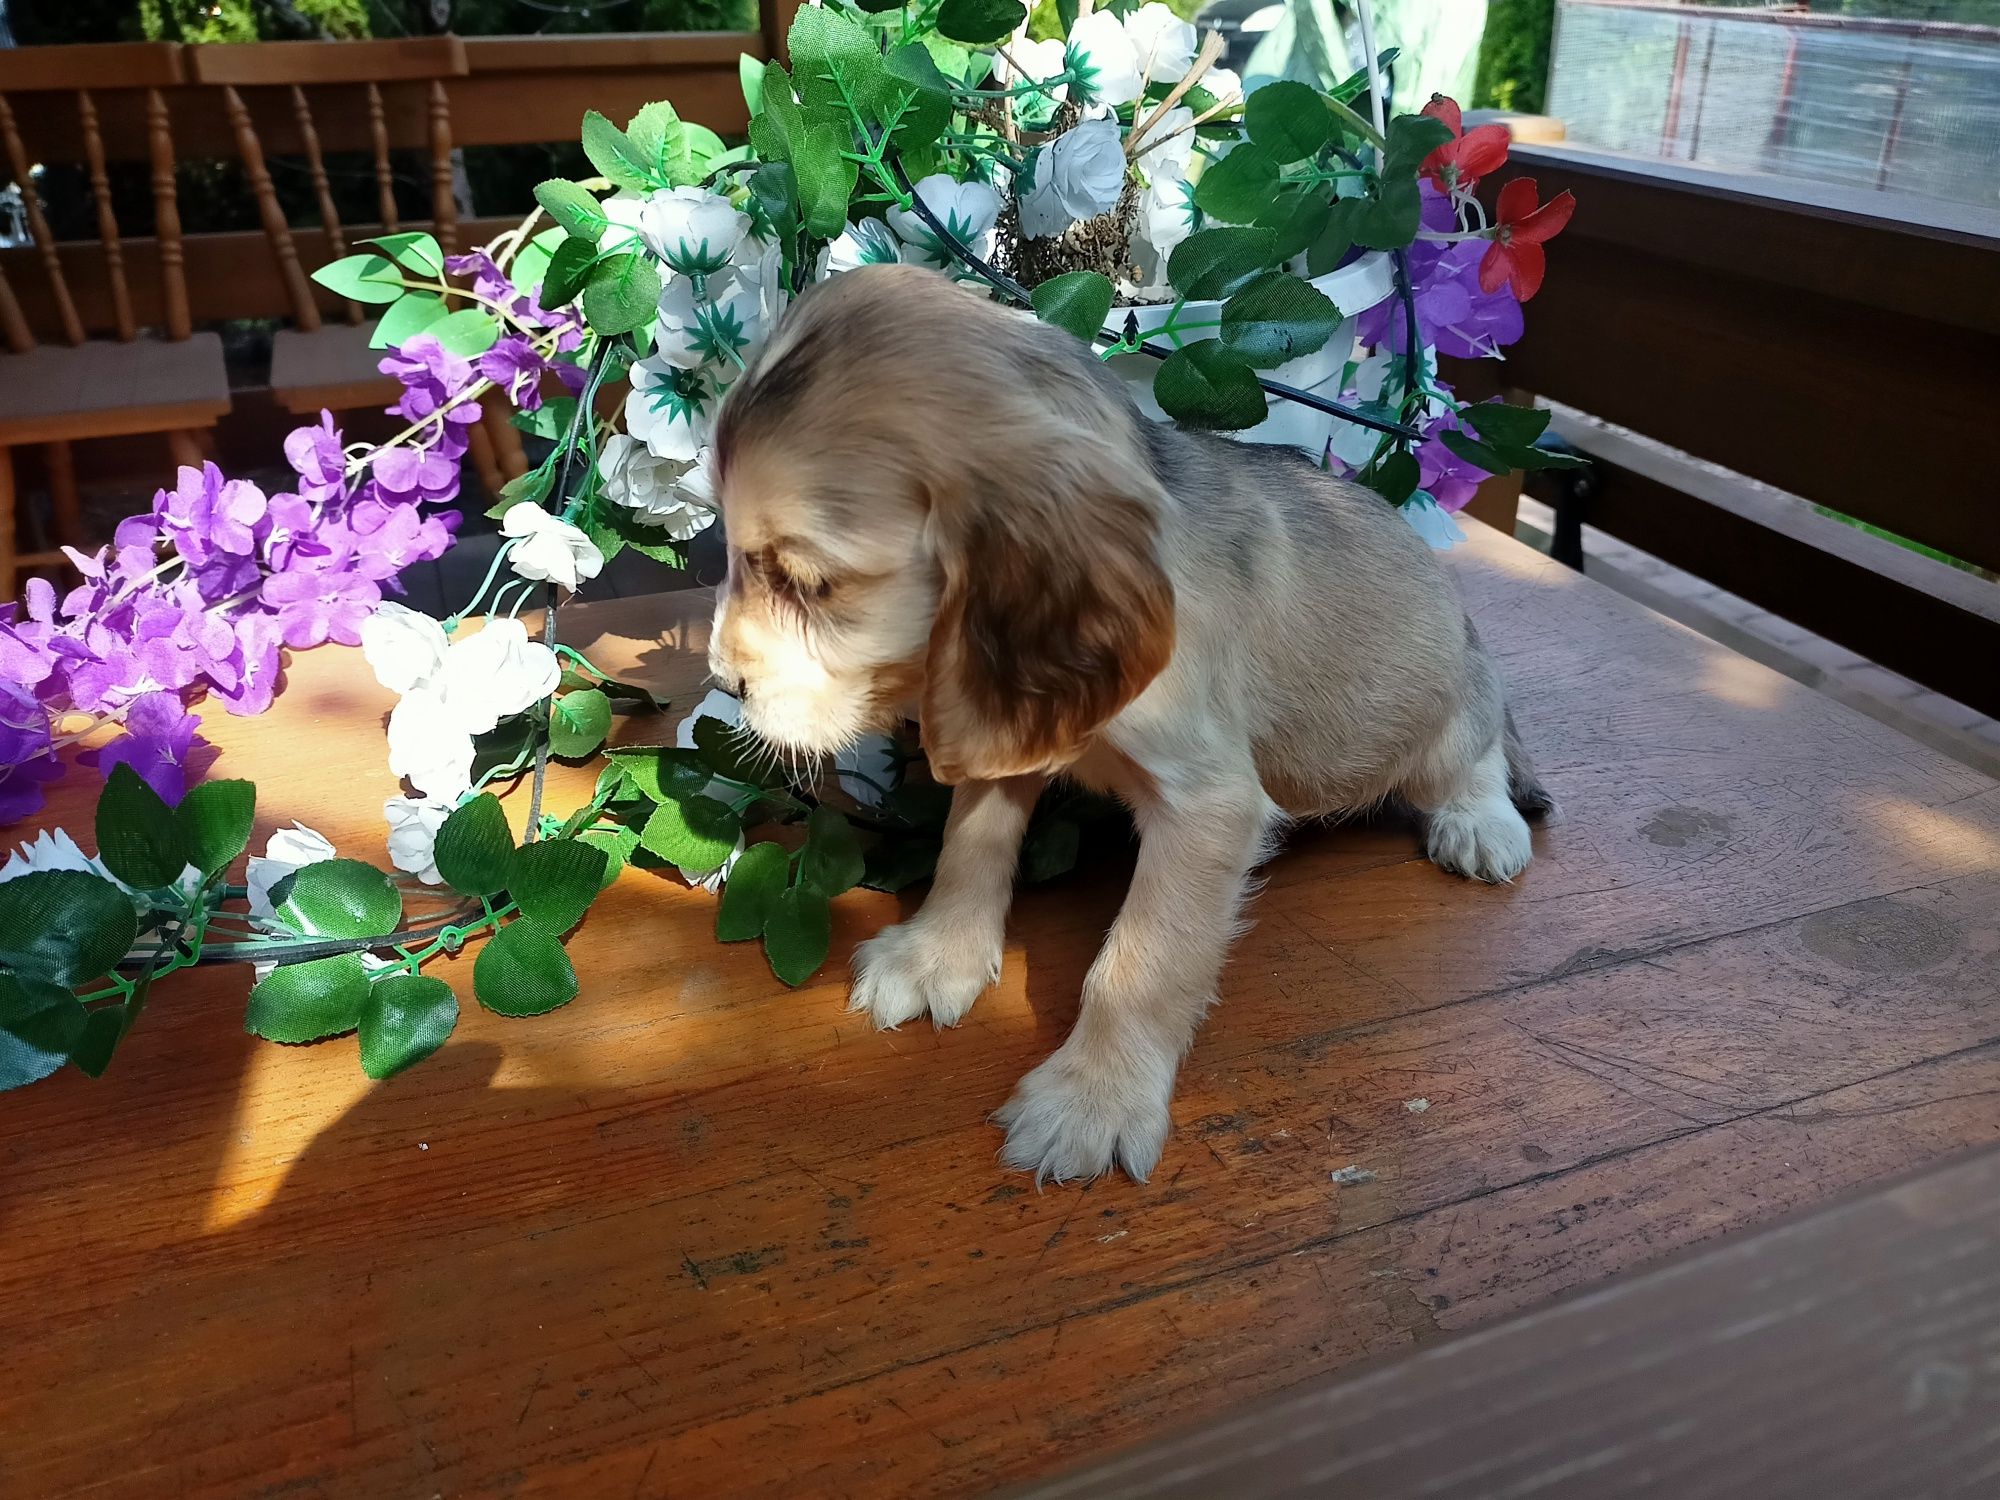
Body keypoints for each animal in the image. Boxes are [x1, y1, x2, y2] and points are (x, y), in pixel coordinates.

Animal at [712, 268, 1552, 1184]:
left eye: (808, 584)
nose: (722, 680)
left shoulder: (1208, 805)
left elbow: (1140, 962)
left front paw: (1094, 1099)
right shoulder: (1009, 714)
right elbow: (971, 846)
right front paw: (937, 955)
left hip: (1434, 710)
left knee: (1474, 751)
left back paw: (1480, 823)